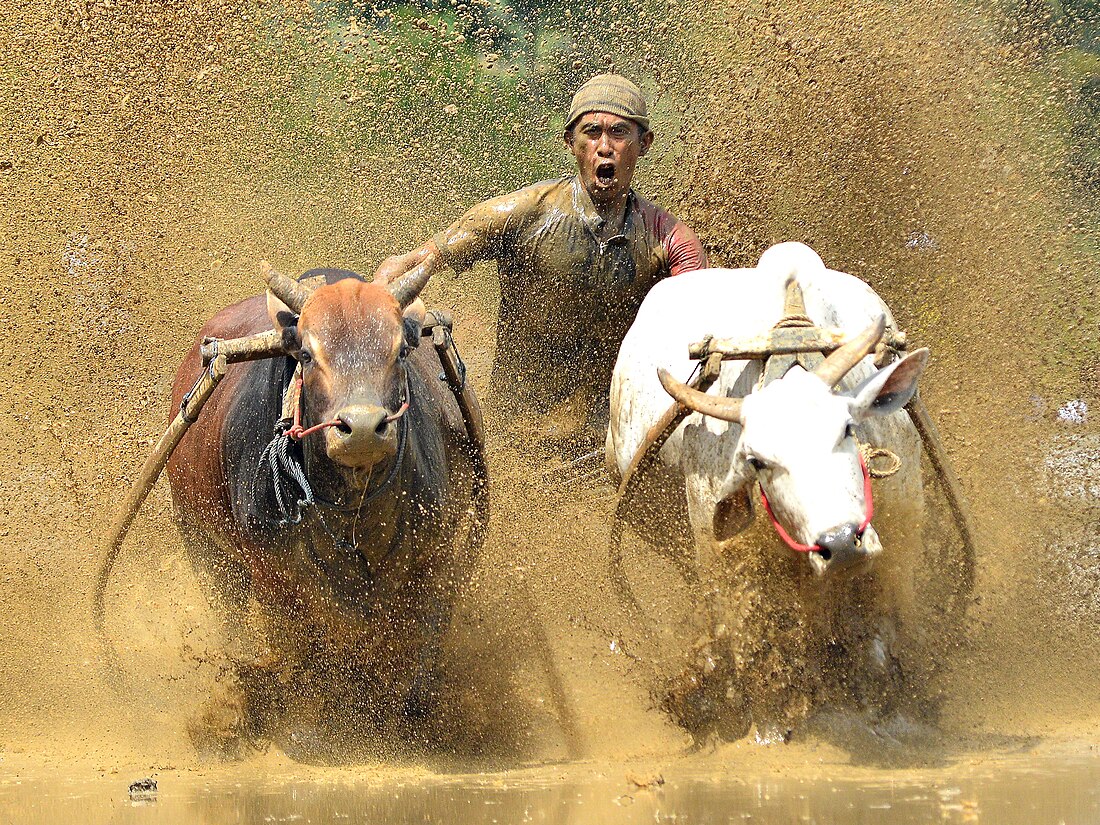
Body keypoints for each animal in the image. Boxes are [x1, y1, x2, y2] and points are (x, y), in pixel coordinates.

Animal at [607, 242, 932, 739]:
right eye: (756, 461)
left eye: (847, 428)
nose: (841, 543)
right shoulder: (722, 559)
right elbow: (755, 652)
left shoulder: (905, 529)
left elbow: (890, 635)